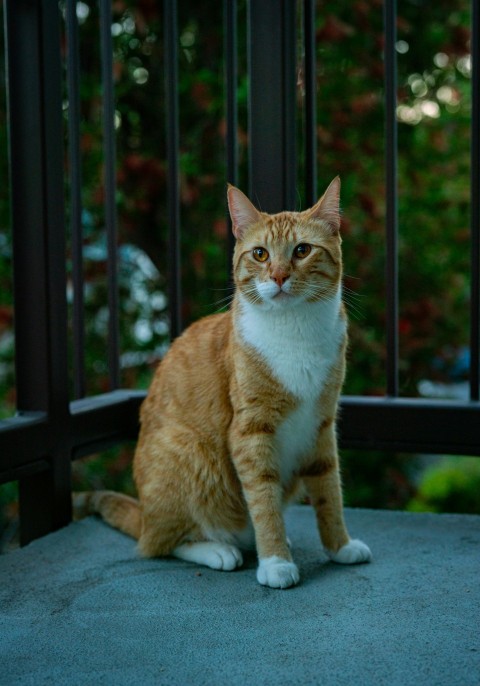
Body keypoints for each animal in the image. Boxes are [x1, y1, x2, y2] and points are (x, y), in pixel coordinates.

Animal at [74, 179, 372, 592]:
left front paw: (339, 546)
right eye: (260, 254)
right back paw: (217, 550)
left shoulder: (322, 424)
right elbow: (263, 498)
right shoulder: (250, 431)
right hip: (189, 452)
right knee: (162, 543)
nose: (279, 276)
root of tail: (144, 514)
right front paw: (276, 560)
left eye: (302, 250)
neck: (295, 330)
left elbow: (329, 491)